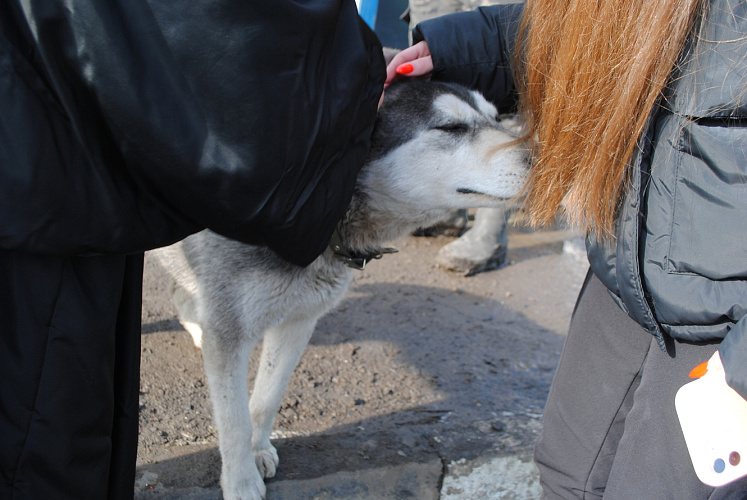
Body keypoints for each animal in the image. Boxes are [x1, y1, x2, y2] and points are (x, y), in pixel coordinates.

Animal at [152, 80, 528, 498]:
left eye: (496, 118)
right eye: (451, 128)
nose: (545, 156)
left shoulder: (299, 320)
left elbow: (267, 396)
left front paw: (258, 447)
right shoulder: (230, 329)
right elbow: (233, 421)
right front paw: (241, 480)